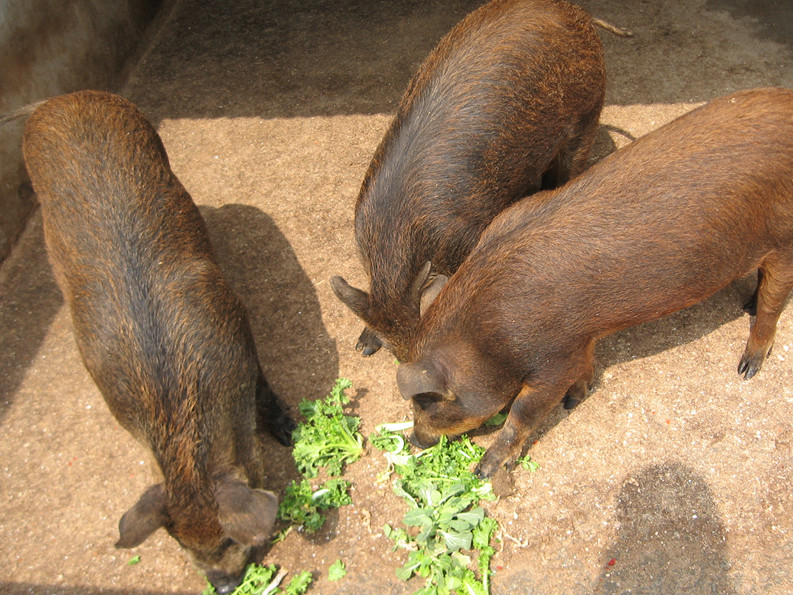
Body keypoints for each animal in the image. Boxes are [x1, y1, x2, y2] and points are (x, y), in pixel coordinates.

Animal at [21, 91, 294, 592]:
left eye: (227, 538)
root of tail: (62, 100)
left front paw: (290, 433)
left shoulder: (238, 326)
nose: (223, 585)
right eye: (179, 541)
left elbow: (267, 390)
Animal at [396, 87, 793, 480]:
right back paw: (747, 306)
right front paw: (575, 400)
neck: (486, 334)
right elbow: (586, 367)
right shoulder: (579, 340)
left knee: (774, 303)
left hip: (784, 242)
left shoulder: (553, 360)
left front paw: (485, 471)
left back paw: (747, 369)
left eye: (429, 404)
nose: (415, 440)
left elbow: (522, 414)